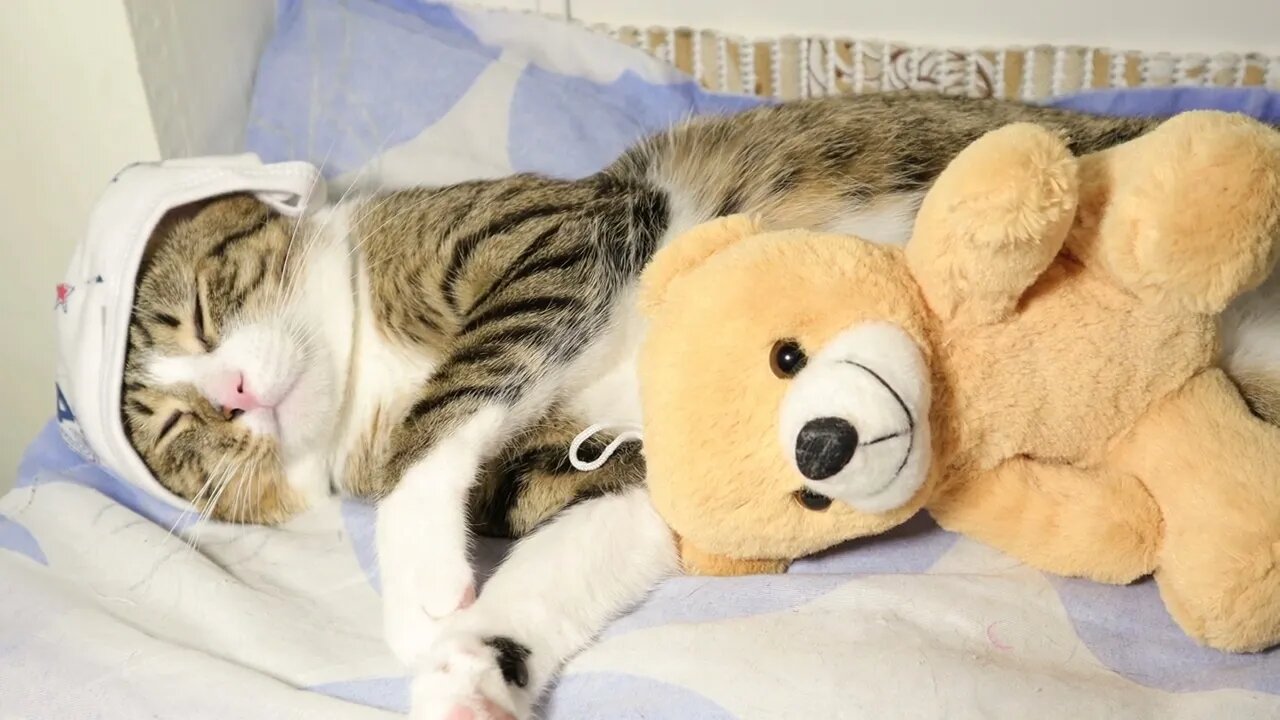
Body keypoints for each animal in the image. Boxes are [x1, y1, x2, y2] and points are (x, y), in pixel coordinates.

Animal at [117, 92, 1280, 712]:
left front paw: (414, 582)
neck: (369, 371)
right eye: (177, 437)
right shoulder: (607, 473)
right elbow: (584, 546)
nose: (227, 395)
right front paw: (470, 667)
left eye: (195, 311)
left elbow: (457, 393)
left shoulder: (556, 231)